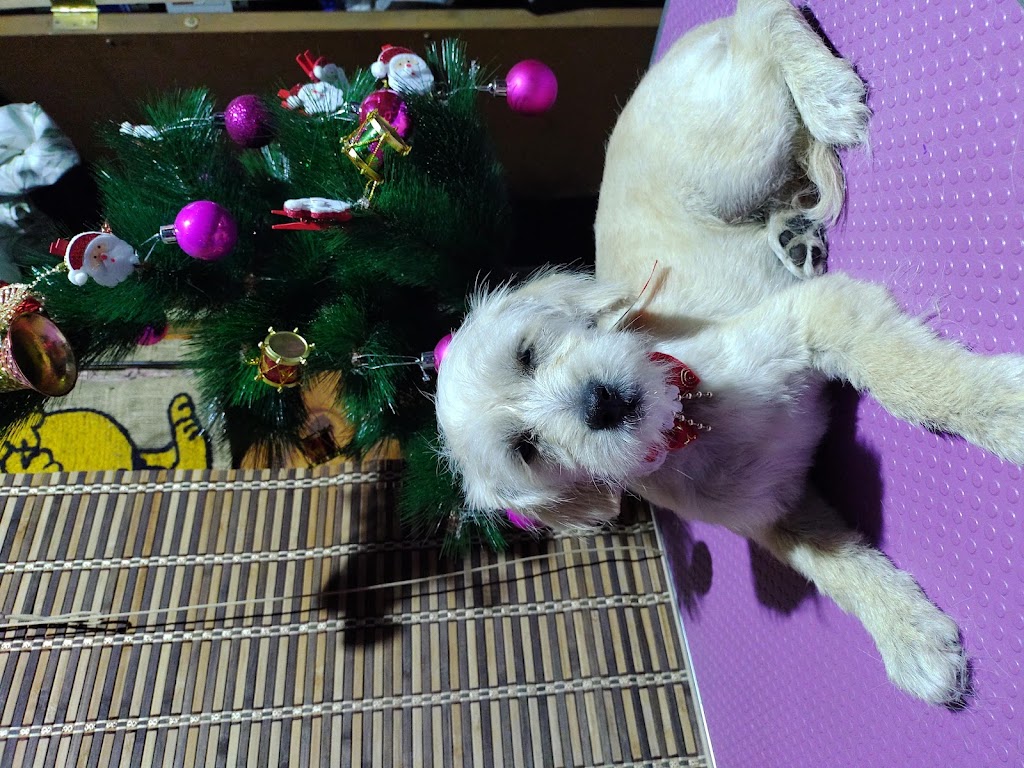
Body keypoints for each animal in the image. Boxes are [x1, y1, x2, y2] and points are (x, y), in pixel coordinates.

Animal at [434, 0, 1024, 707]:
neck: (692, 414)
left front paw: (1007, 412)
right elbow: (835, 568)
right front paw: (908, 636)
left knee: (763, 16)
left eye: (527, 352)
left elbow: (915, 382)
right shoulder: (775, 512)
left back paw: (825, 95)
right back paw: (794, 230)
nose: (599, 404)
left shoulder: (815, 320)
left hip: (737, 154)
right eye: (527, 449)